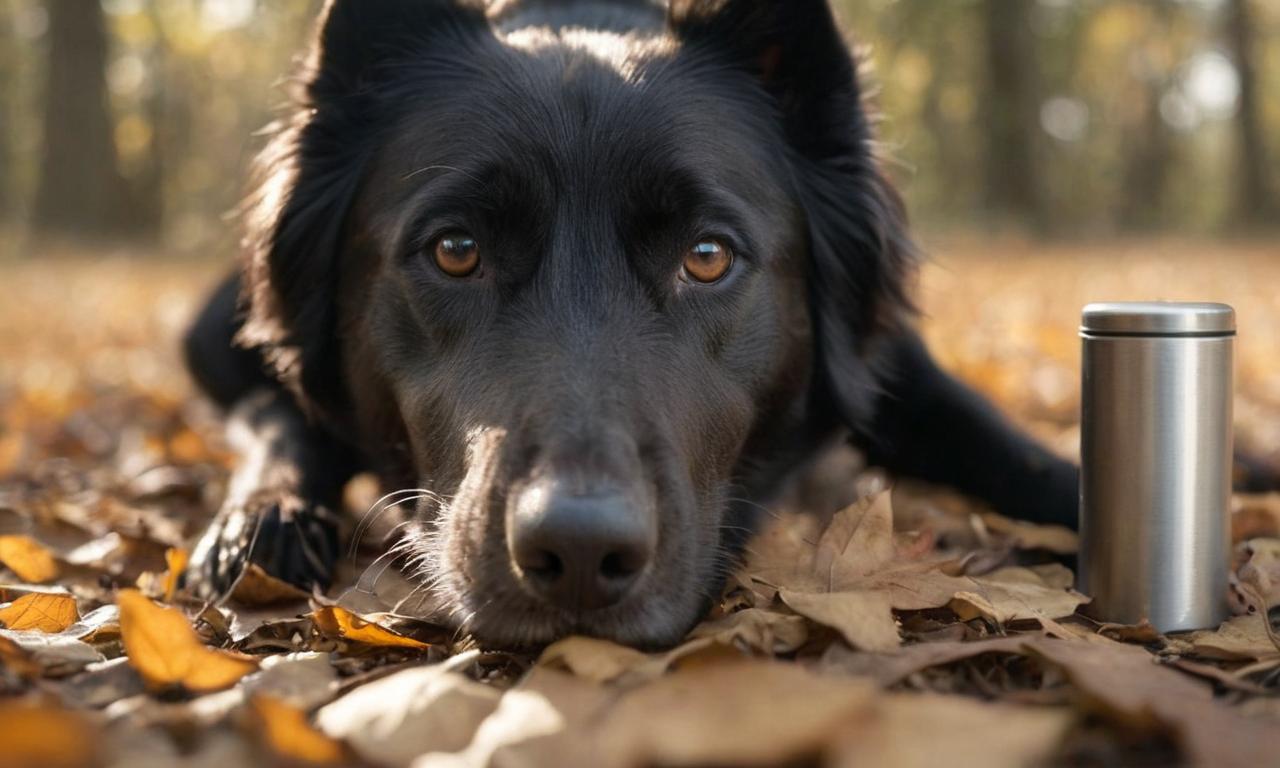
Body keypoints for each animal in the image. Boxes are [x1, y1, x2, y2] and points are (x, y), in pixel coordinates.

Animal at [180, 0, 1080, 647]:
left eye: (707, 256)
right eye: (457, 250)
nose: (579, 552)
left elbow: (1017, 452)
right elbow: (283, 416)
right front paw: (261, 518)